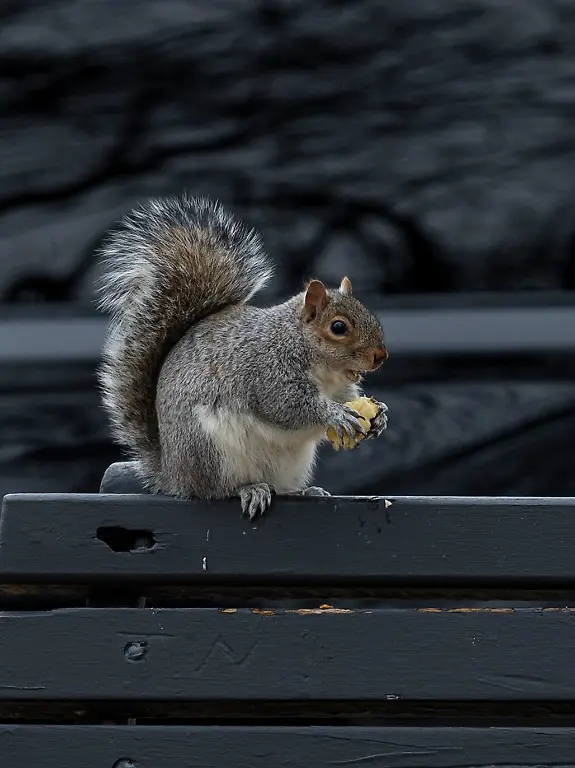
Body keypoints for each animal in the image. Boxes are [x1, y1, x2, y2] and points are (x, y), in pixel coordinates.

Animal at [97, 193, 389, 519]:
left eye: (367, 313)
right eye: (338, 327)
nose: (380, 356)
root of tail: (174, 475)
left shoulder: (337, 385)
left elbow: (345, 397)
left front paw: (379, 416)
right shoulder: (269, 370)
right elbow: (288, 405)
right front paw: (336, 414)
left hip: (288, 465)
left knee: (280, 487)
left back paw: (305, 490)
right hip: (210, 451)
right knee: (216, 490)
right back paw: (250, 489)